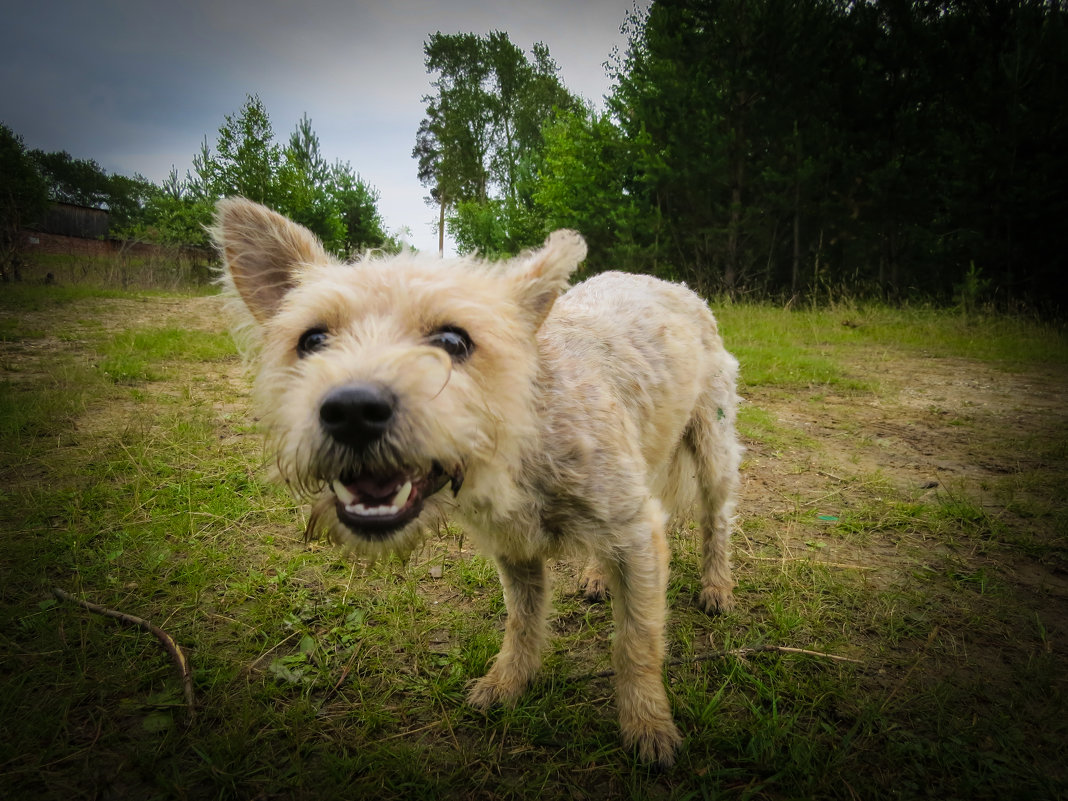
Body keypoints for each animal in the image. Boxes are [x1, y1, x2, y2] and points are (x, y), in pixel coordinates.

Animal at [210, 197, 743, 768]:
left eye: (452, 340)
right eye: (311, 340)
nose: (351, 410)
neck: (520, 444)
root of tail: (669, 282)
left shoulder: (638, 533)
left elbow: (636, 639)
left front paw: (648, 724)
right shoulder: (515, 549)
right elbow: (522, 622)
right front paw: (508, 683)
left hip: (713, 447)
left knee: (716, 520)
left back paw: (716, 586)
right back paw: (597, 577)